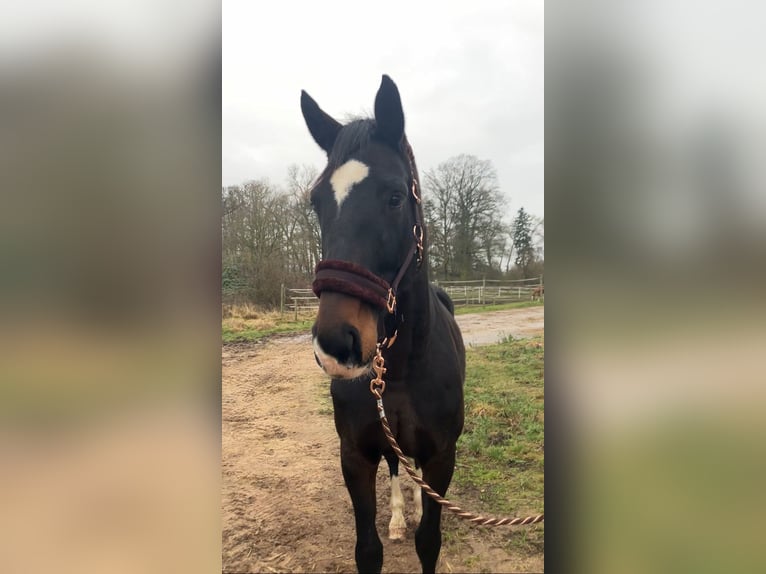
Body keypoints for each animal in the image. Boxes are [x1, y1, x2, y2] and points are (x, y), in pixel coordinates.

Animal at [301, 75, 466, 573]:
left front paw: (417, 518)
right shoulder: (355, 455)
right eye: (316, 201)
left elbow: (430, 540)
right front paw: (391, 522)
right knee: (395, 468)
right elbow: (367, 549)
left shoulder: (441, 456)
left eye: (395, 196)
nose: (337, 343)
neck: (402, 367)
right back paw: (397, 516)